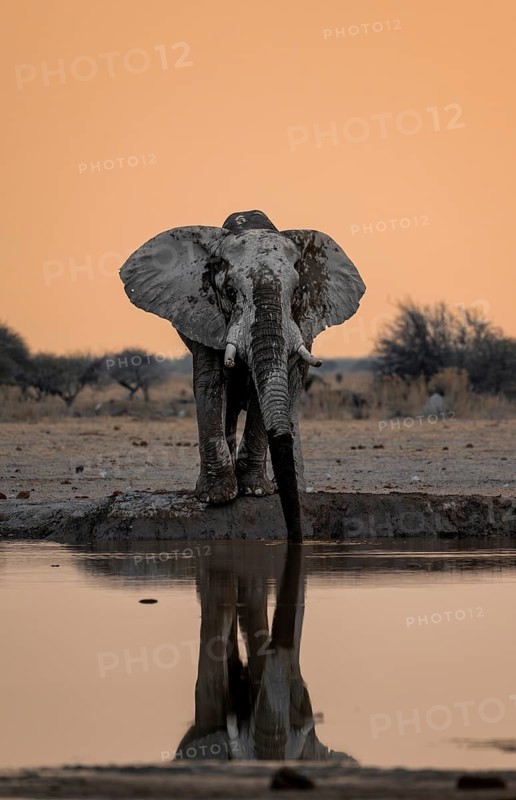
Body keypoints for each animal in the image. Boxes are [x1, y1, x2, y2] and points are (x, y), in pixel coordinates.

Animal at [119, 210, 365, 541]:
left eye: (295, 292)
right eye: (229, 292)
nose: (296, 537)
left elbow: (268, 387)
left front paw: (256, 491)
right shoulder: (202, 312)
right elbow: (210, 383)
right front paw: (217, 497)